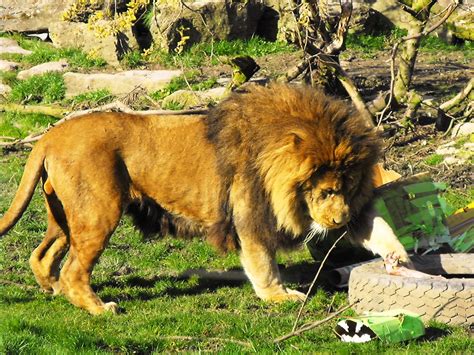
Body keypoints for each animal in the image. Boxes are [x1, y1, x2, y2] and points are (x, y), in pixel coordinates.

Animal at [0, 82, 408, 314]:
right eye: (326, 191)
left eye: (348, 189)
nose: (338, 220)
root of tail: (50, 136)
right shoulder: (251, 213)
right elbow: (263, 263)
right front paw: (279, 297)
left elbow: (376, 226)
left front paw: (398, 257)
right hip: (99, 211)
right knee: (73, 269)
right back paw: (98, 308)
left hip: (64, 216)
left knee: (42, 256)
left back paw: (55, 289)